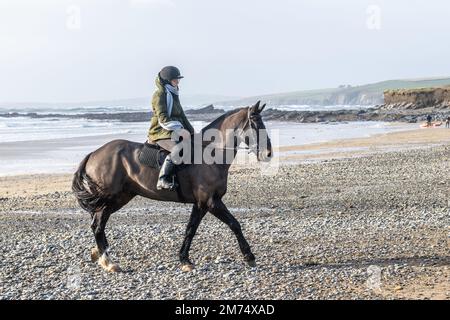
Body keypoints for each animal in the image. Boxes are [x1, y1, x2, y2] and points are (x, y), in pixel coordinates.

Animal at [72, 100, 272, 272]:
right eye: (255, 125)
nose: (268, 153)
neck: (210, 155)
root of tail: (93, 153)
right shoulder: (211, 202)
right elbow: (234, 224)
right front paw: (249, 256)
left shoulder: (201, 204)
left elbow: (190, 229)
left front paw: (184, 259)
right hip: (111, 199)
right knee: (98, 226)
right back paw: (109, 262)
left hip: (120, 197)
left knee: (97, 224)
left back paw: (101, 257)